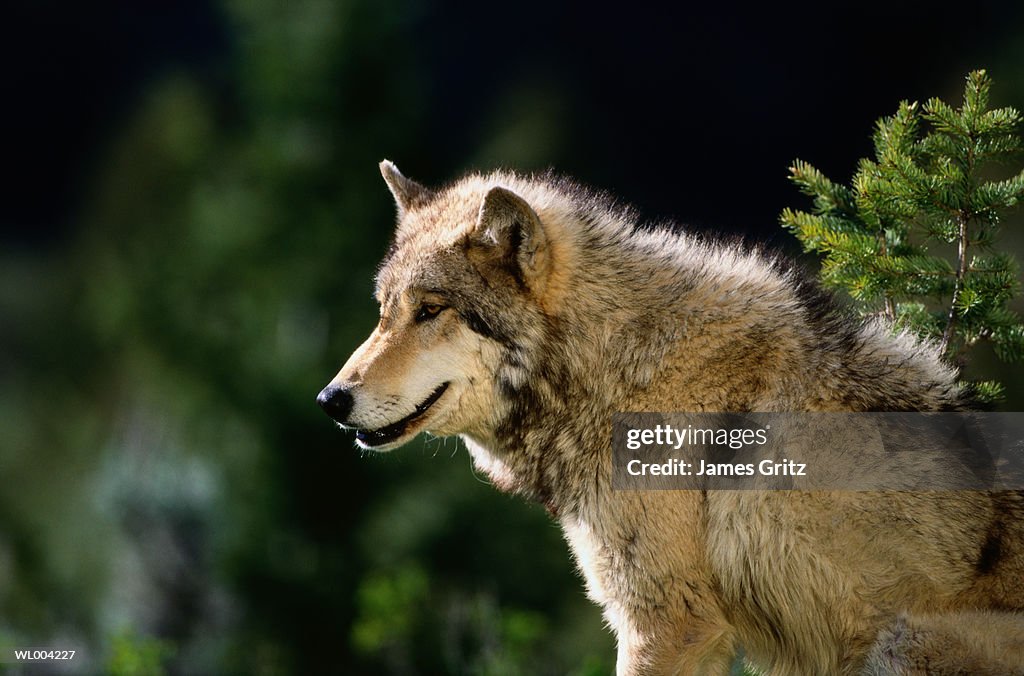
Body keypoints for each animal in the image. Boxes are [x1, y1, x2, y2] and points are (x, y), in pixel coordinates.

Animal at [317, 162, 1024, 675]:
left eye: (431, 310)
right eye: (384, 311)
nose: (331, 399)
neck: (617, 367)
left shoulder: (669, 622)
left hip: (898, 647)